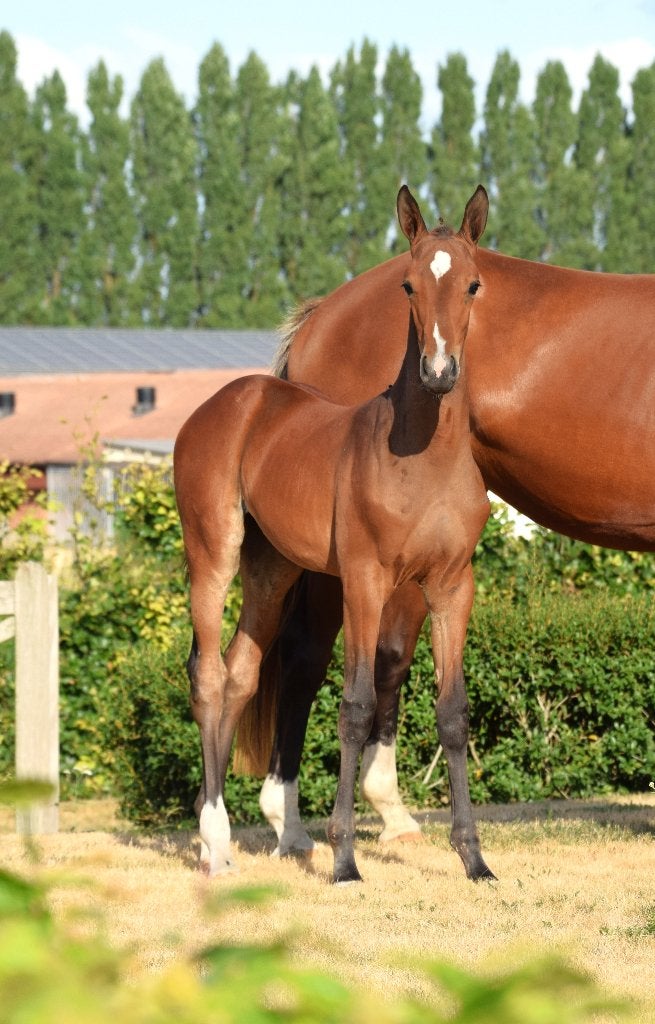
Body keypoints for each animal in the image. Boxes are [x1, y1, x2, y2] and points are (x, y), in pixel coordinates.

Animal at [173, 184, 493, 882]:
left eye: (474, 284)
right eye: (407, 285)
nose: (438, 371)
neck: (424, 455)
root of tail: (228, 402)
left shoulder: (451, 586)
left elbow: (453, 712)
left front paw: (474, 858)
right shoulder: (365, 581)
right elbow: (356, 706)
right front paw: (345, 859)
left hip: (272, 570)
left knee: (240, 673)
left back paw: (238, 839)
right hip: (214, 553)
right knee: (207, 673)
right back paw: (216, 844)